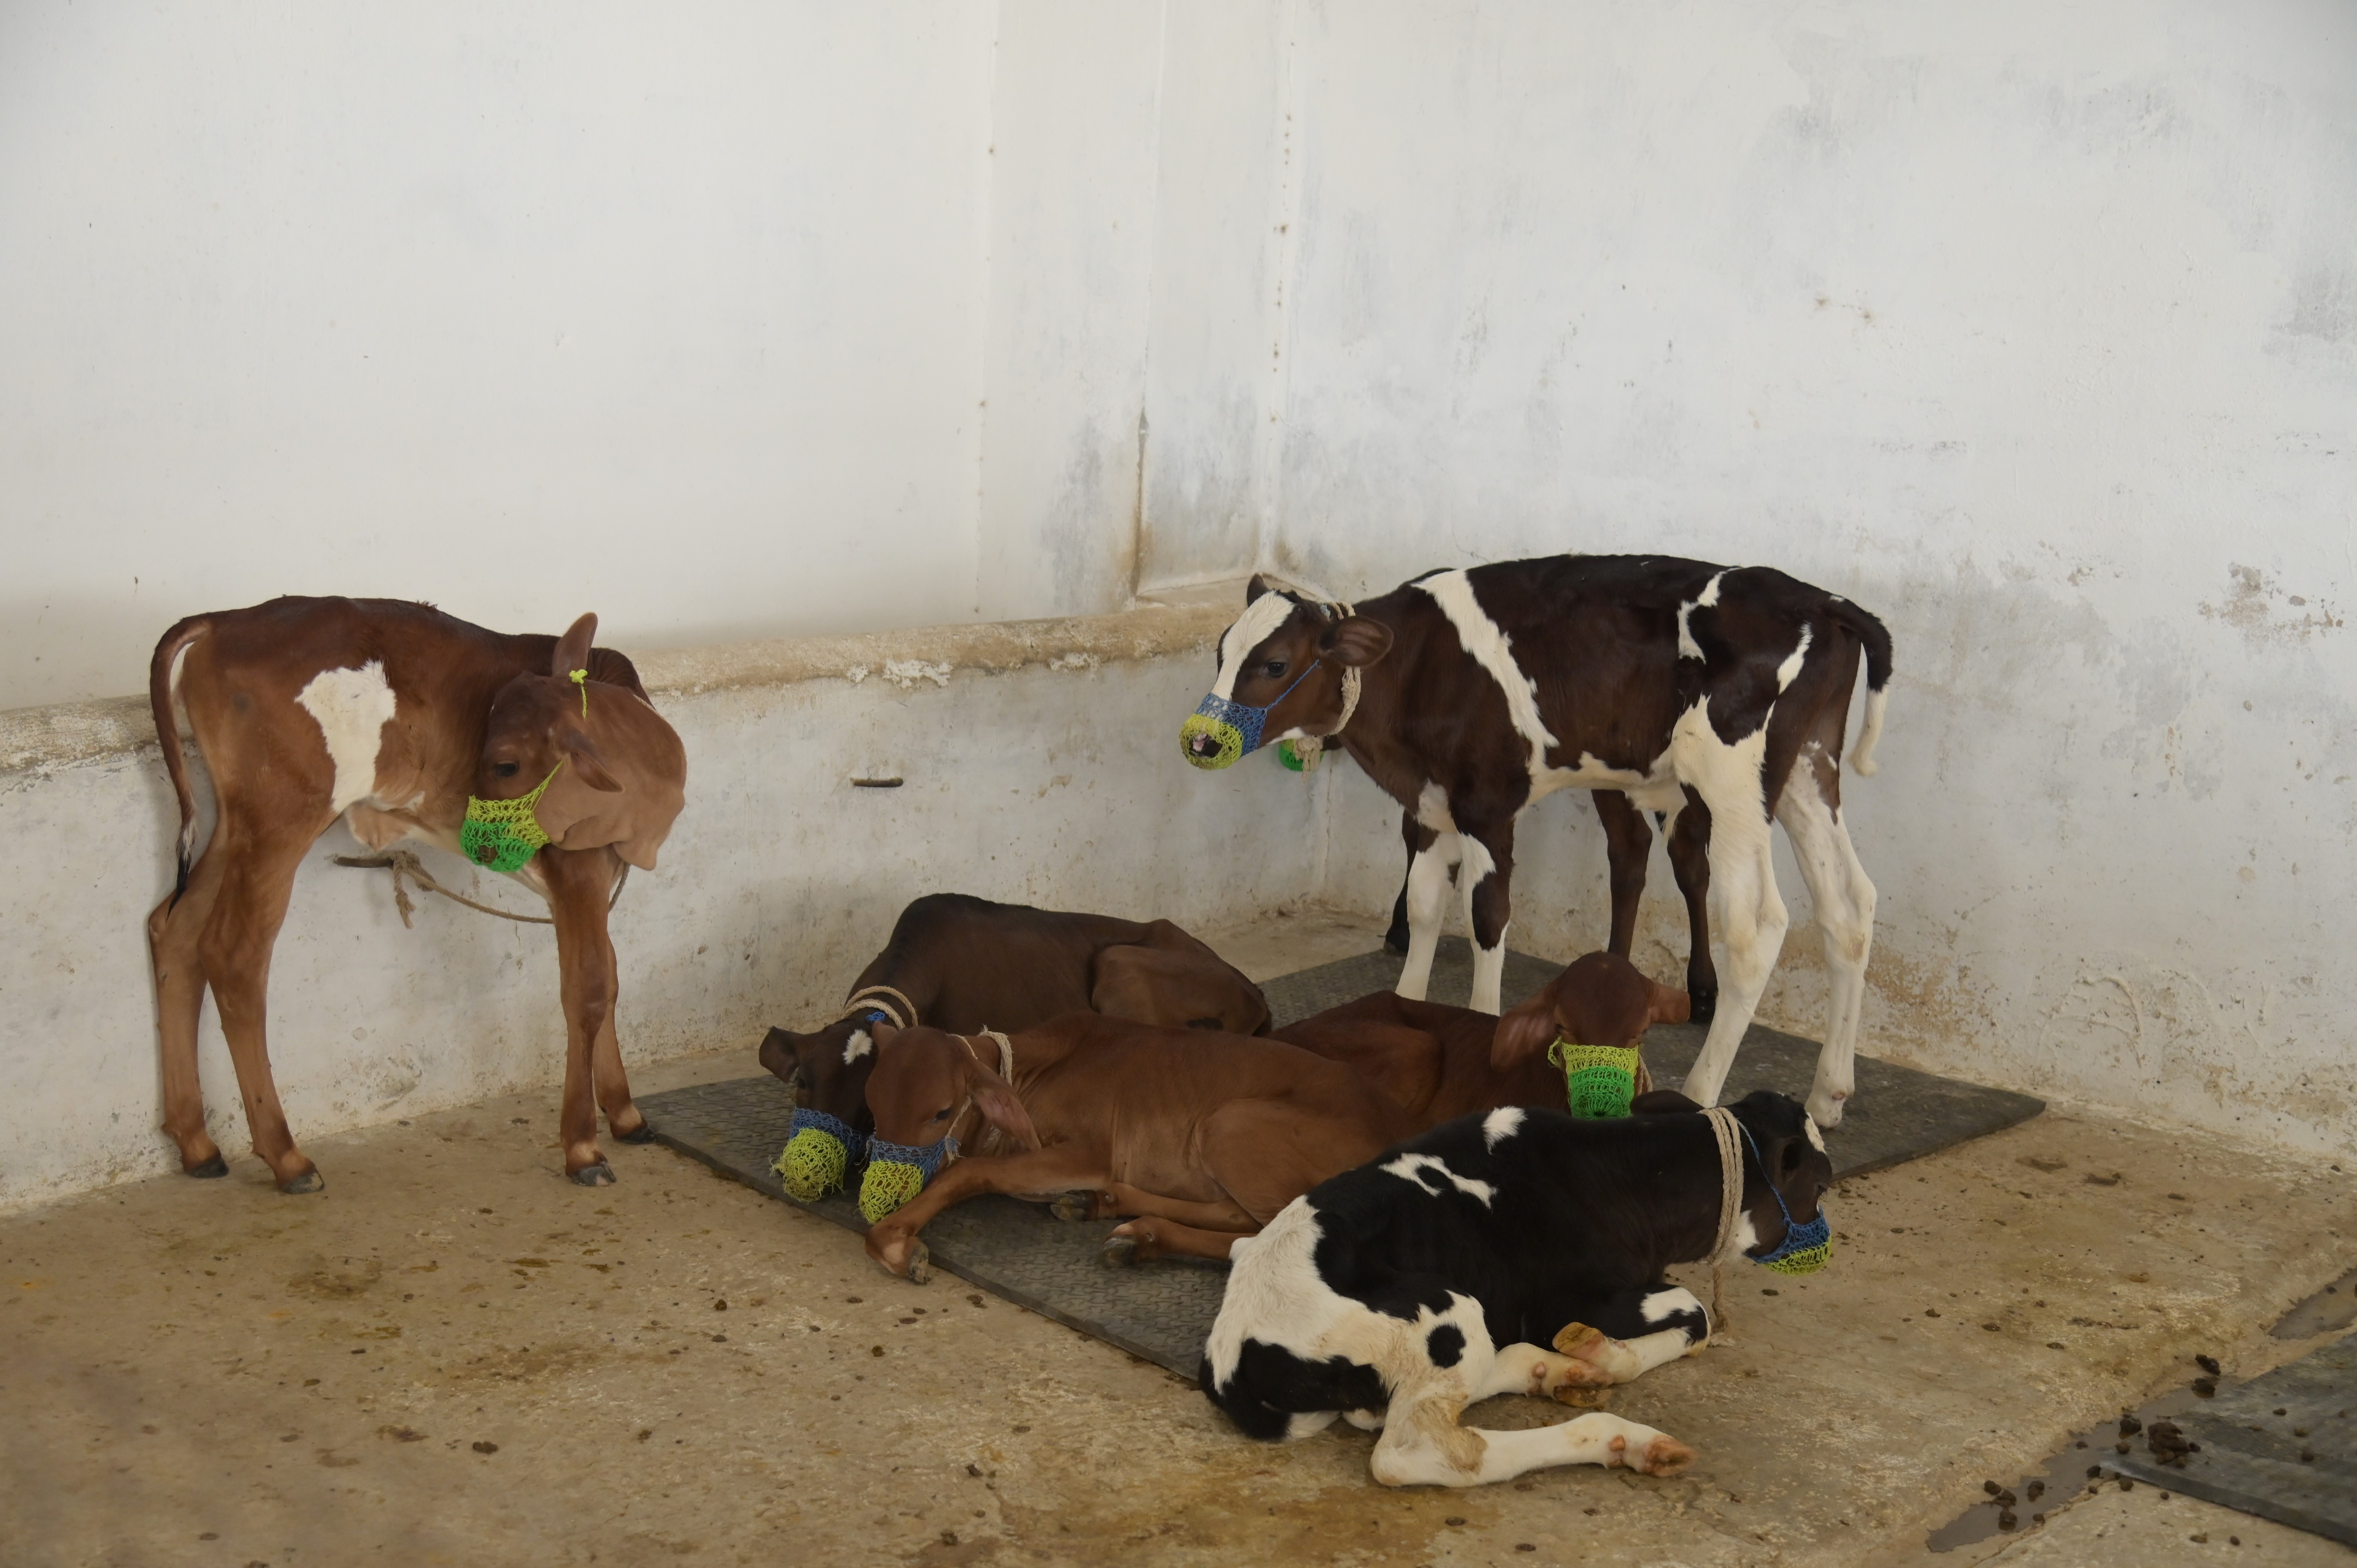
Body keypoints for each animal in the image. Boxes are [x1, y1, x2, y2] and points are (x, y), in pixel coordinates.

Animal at [146, 597, 686, 1191]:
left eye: (505, 764)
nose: (480, 840)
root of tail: (225, 620)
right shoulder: (578, 870)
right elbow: (588, 990)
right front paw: (584, 1146)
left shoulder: (587, 883)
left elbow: (609, 978)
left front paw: (625, 1111)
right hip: (281, 819)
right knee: (233, 955)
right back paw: (287, 1156)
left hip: (235, 826)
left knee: (176, 930)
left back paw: (196, 1143)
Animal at [1179, 558, 1891, 1126]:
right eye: (1222, 652)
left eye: (1275, 663)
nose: (1201, 741)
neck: (1417, 668)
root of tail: (1820, 601)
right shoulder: (1432, 806)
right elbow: (1425, 908)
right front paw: (1402, 1009)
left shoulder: (1488, 805)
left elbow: (1487, 919)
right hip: (1809, 768)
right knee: (1848, 906)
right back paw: (1829, 1093)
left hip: (1734, 783)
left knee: (1756, 925)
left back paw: (1699, 1091)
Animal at [1199, 1089, 1834, 1488]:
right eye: (1822, 1183)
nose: (1823, 1244)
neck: (1623, 1178)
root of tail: (1229, 1353)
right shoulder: (1575, 1299)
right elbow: (1695, 1311)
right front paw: (1607, 1352)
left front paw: (1591, 1357)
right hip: (1447, 1311)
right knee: (1420, 1451)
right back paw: (1618, 1433)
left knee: (1408, 1402)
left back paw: (1558, 1370)